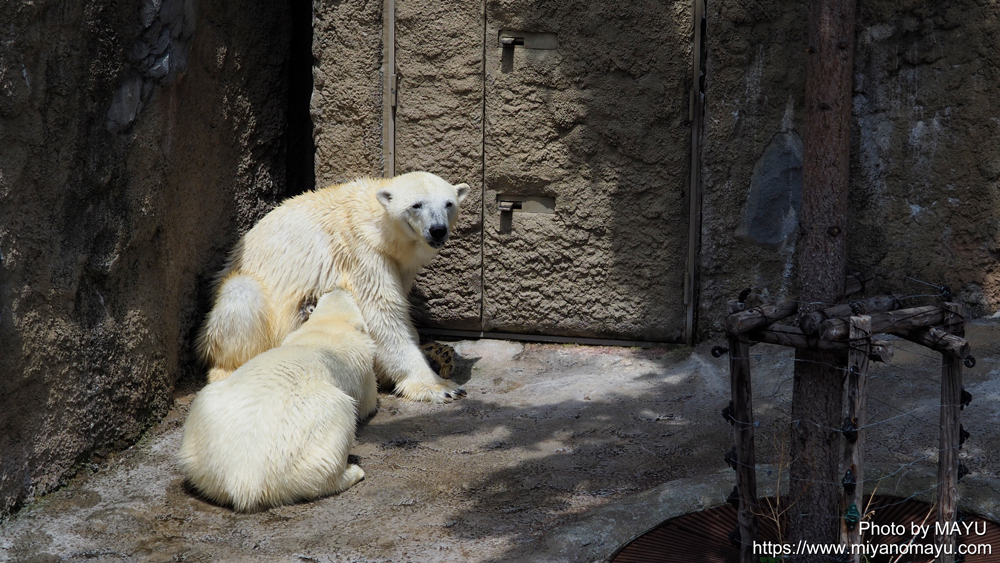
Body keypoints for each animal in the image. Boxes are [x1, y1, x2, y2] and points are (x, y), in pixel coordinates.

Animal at [178, 288, 376, 512]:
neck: (321, 336)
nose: (340, 288)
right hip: (308, 446)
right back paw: (353, 471)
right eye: (352, 301)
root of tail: (244, 481)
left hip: (201, 430)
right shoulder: (360, 369)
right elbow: (368, 401)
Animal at [196, 171, 470, 403]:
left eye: (448, 203)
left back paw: (439, 353)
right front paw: (440, 387)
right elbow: (383, 313)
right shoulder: (361, 252)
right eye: (416, 205)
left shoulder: (399, 264)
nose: (438, 230)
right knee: (241, 292)